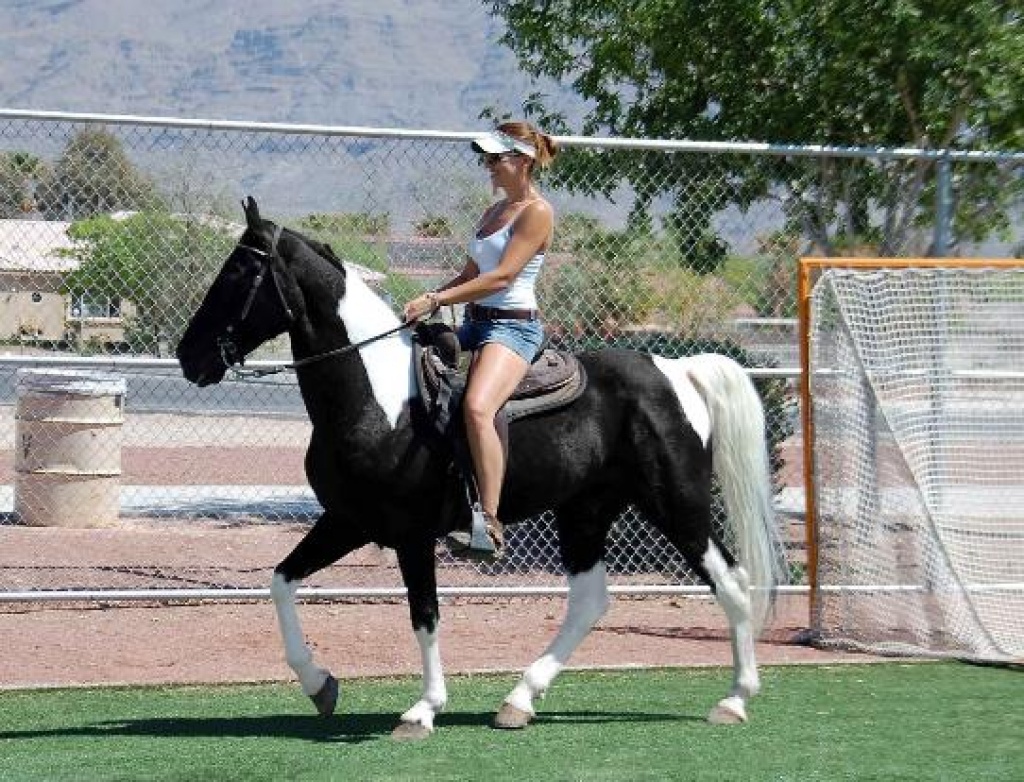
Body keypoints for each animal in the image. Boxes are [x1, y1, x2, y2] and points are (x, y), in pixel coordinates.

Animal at [176, 197, 786, 739]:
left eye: (239, 272)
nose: (188, 355)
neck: (383, 400)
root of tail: (675, 370)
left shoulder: (412, 534)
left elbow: (424, 615)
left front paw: (422, 711)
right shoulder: (348, 520)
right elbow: (281, 582)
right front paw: (319, 684)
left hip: (677, 505)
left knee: (732, 583)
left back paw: (735, 699)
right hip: (585, 512)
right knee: (590, 601)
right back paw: (519, 700)